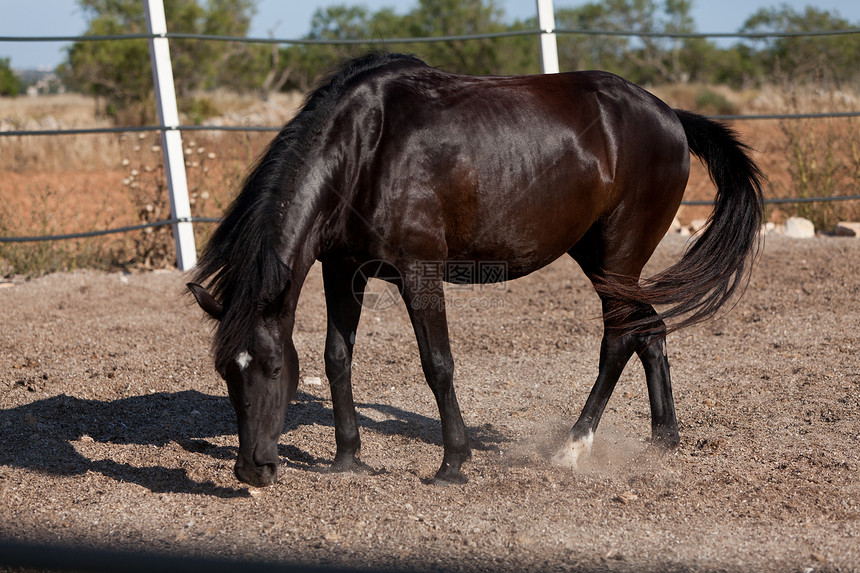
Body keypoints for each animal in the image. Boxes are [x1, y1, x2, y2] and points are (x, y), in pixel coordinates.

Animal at [186, 52, 760, 488]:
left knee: (620, 339)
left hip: (618, 259)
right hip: (598, 257)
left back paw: (572, 448)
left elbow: (437, 364)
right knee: (650, 332)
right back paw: (663, 441)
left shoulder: (419, 274)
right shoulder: (343, 270)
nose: (251, 469)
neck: (365, 150)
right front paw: (346, 458)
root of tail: (669, 116)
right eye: (226, 371)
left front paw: (452, 464)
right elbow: (336, 359)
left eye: (273, 368)